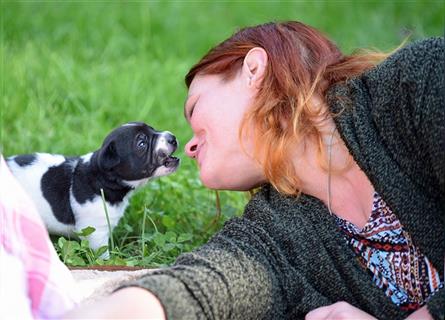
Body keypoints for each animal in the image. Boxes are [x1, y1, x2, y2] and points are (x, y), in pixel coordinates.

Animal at [6, 121, 179, 258]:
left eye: (153, 129)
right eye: (141, 143)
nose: (172, 137)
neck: (101, 178)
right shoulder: (95, 233)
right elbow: (102, 254)